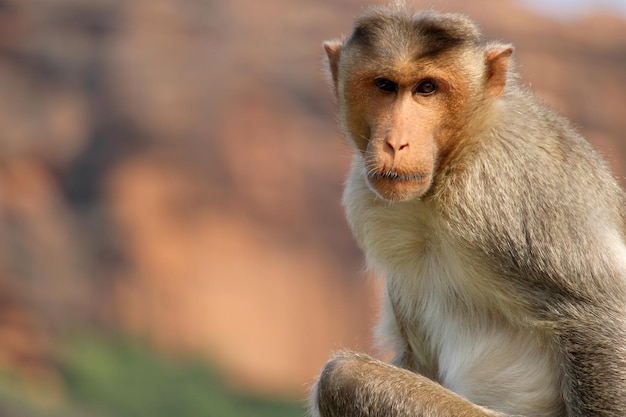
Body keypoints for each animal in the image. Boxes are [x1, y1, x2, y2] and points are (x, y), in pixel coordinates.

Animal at [310, 4, 624, 416]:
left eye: (427, 88)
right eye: (384, 85)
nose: (395, 143)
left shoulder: (505, 192)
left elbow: (600, 316)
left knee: (342, 376)